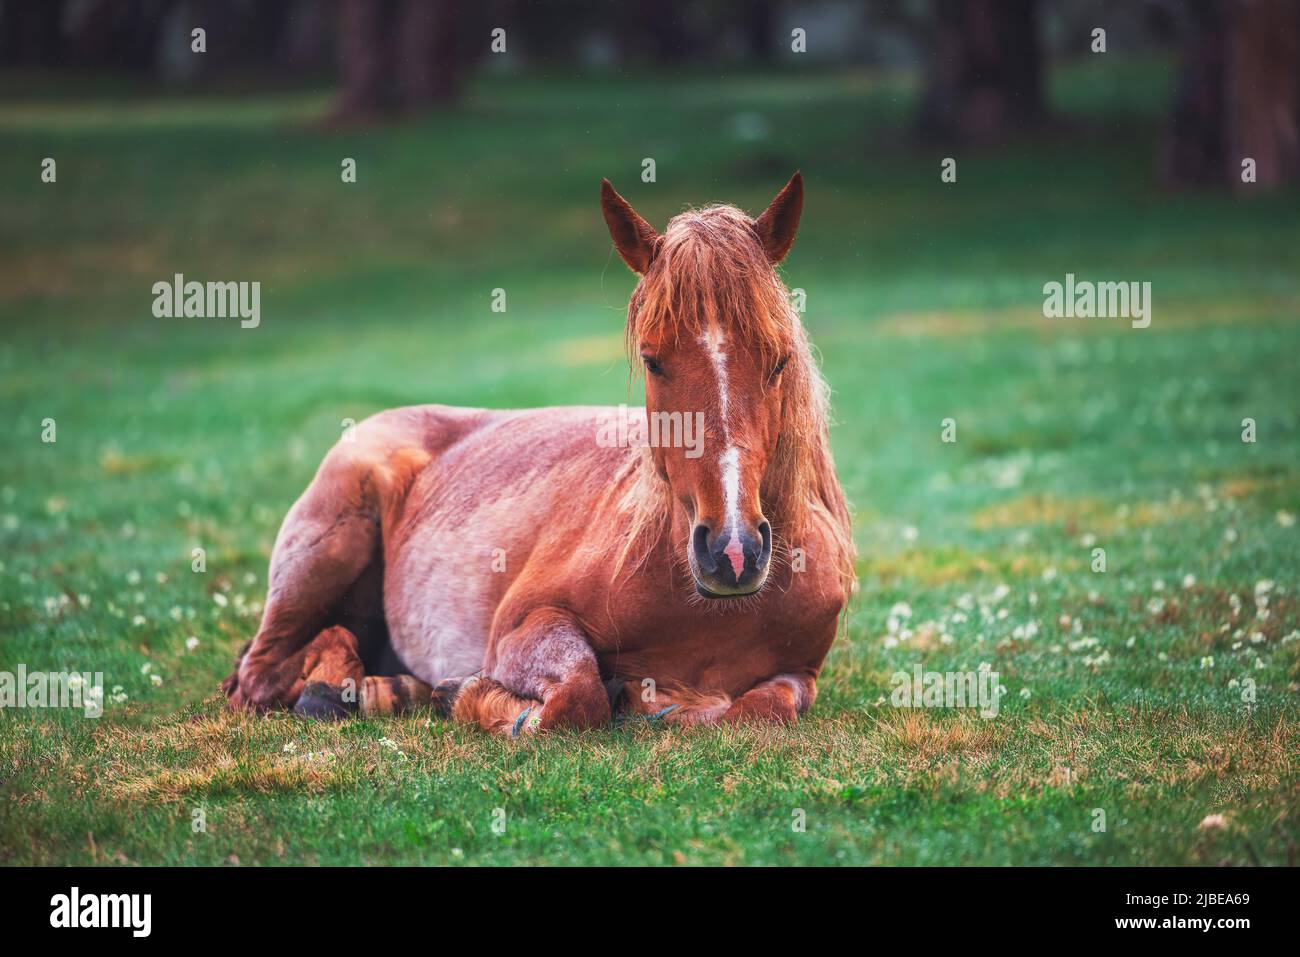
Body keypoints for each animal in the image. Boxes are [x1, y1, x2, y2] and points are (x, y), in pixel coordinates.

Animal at [221, 172, 855, 735]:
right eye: (652, 361)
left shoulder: (799, 675)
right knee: (263, 674)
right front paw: (469, 696)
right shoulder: (523, 626)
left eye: (779, 359)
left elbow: (761, 710)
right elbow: (577, 695)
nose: (732, 551)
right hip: (327, 547)